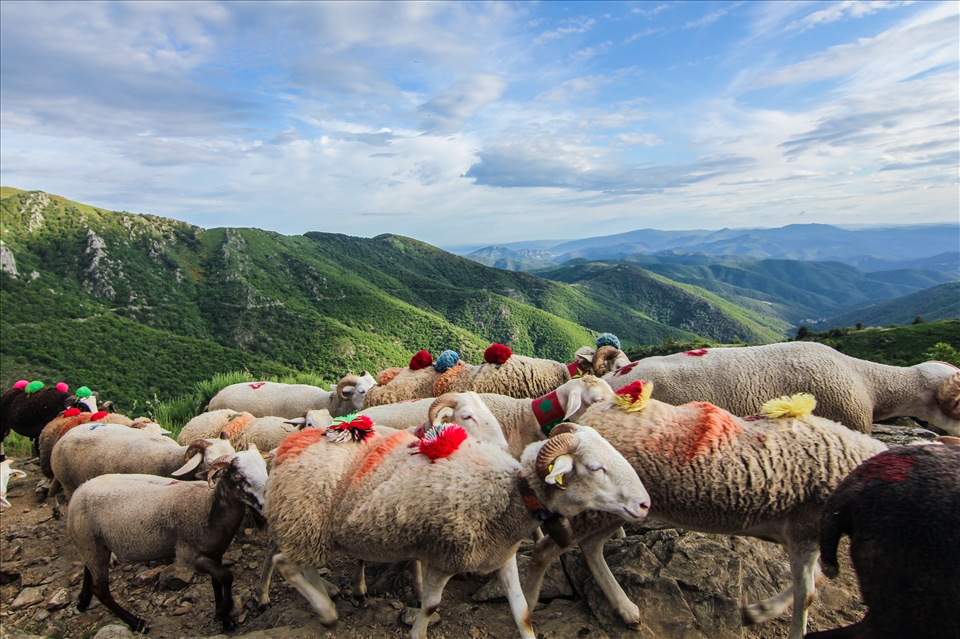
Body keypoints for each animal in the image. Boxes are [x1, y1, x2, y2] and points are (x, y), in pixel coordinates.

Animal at [67, 444, 268, 632]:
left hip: (92, 544)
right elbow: (226, 576)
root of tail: (79, 490)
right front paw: (224, 611)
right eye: (239, 478)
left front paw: (224, 618)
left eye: (265, 469)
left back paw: (83, 601)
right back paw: (136, 622)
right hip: (90, 543)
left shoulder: (216, 552)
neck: (209, 508)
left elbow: (217, 581)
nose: (266, 506)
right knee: (100, 589)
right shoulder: (188, 556)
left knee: (87, 568)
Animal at [264, 420, 650, 639]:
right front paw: (418, 631)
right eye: (595, 468)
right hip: (304, 522)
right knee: (285, 564)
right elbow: (430, 607)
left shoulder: (501, 555)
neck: (509, 494)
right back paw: (326, 612)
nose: (645, 504)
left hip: (311, 531)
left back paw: (325, 601)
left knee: (303, 566)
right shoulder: (442, 557)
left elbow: (522, 611)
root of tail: (291, 445)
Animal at [521, 385, 888, 639]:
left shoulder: (805, 534)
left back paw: (626, 610)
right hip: (598, 507)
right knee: (545, 551)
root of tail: (595, 414)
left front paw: (760, 610)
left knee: (591, 547)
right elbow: (807, 595)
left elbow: (813, 581)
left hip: (618, 508)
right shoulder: (805, 529)